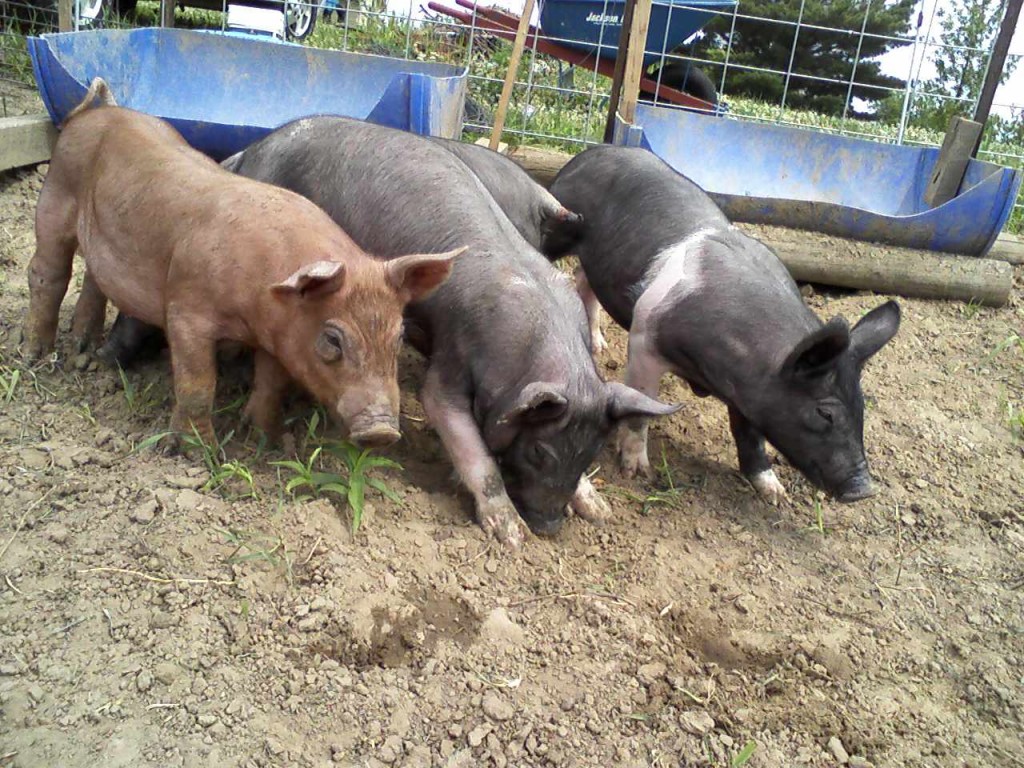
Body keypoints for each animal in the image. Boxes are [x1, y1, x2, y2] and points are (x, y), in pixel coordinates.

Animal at [22, 78, 459, 449]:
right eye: (333, 339)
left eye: (399, 337)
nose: (383, 432)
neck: (258, 301)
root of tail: (97, 113)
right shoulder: (186, 312)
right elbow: (198, 383)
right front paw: (197, 453)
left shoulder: (278, 337)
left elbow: (271, 384)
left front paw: (266, 441)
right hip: (55, 197)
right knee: (47, 273)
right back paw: (36, 354)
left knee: (94, 281)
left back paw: (83, 349)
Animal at [221, 116, 679, 546]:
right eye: (538, 451)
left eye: (590, 453)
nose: (548, 527)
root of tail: (255, 150)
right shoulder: (451, 360)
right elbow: (462, 436)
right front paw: (512, 536)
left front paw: (600, 511)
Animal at [547, 145, 900, 503]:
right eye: (825, 413)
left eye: (861, 407)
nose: (864, 490)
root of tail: (593, 152)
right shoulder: (644, 340)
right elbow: (642, 409)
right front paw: (637, 472)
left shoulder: (750, 393)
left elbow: (750, 436)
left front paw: (774, 492)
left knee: (583, 279)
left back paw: (598, 344)